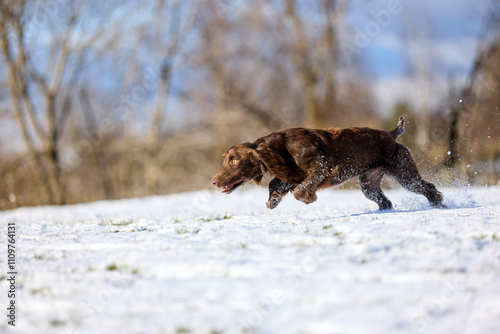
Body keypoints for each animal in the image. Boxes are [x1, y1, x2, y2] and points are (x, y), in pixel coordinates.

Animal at [210, 117, 442, 210]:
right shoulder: (293, 175)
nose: (214, 181)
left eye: (233, 160)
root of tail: (391, 134)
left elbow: (299, 191)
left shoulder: (321, 167)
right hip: (369, 183)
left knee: (430, 188)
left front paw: (309, 198)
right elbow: (277, 183)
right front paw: (272, 201)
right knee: (385, 201)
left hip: (405, 174)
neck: (280, 148)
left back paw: (439, 206)